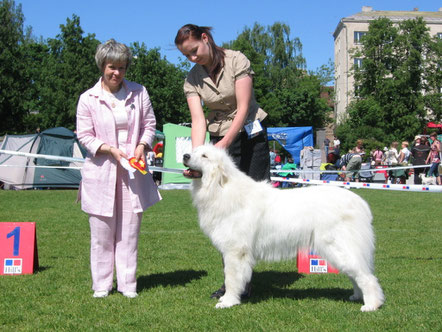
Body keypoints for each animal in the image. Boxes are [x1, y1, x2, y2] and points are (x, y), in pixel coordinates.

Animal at [183, 145, 384, 312]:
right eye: (194, 151)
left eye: (204, 156)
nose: (185, 155)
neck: (220, 187)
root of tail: (360, 203)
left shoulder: (235, 251)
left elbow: (231, 278)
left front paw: (228, 301)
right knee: (357, 274)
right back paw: (357, 297)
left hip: (339, 247)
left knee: (366, 277)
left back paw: (371, 305)